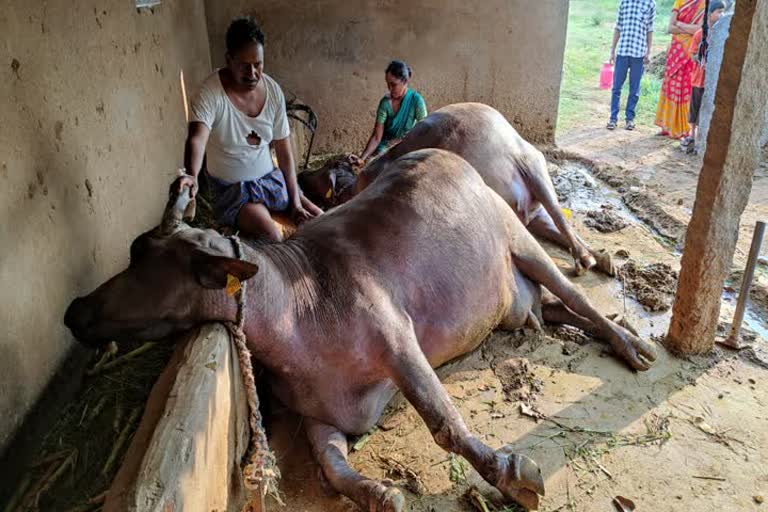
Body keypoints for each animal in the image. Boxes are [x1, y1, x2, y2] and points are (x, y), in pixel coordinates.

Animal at [64, 149, 656, 512]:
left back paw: (631, 343)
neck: (298, 311)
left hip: (519, 237)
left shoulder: (400, 341)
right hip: (512, 300)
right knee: (555, 310)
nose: (73, 310)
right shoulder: (318, 415)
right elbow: (329, 466)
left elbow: (445, 423)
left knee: (578, 296)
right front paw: (378, 493)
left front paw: (512, 472)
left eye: (141, 256)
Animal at [300, 101, 612, 274]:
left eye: (330, 165)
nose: (302, 174)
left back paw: (587, 259)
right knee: (557, 220)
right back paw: (598, 259)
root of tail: (514, 152)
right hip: (534, 182)